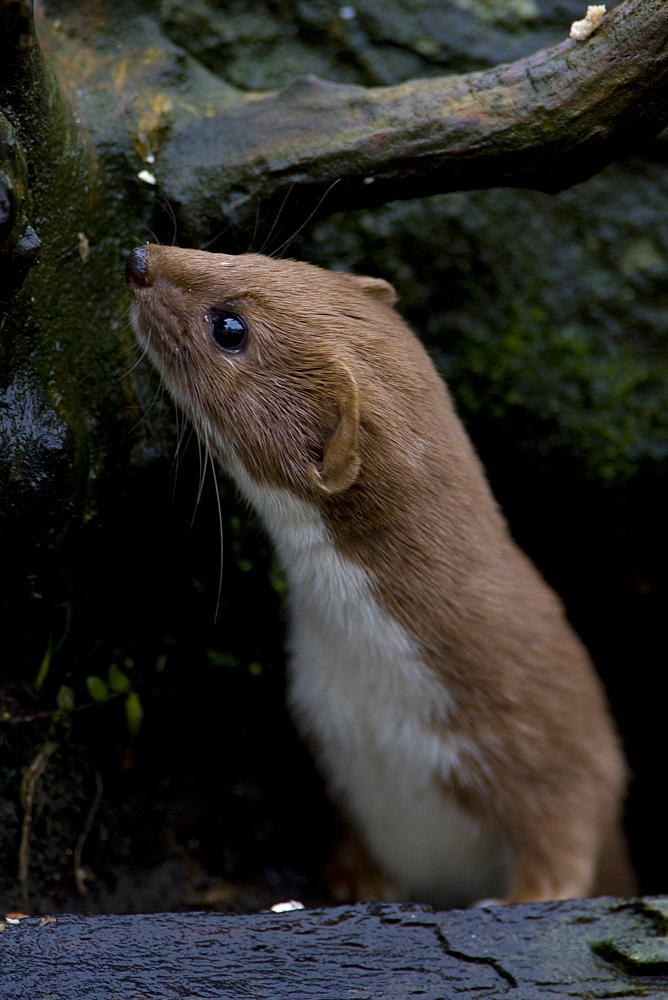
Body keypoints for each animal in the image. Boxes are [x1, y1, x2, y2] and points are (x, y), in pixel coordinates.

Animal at [128, 244, 636, 908]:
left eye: (230, 328)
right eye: (256, 256)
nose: (140, 257)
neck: (381, 702)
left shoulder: (555, 728)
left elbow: (566, 837)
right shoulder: (332, 733)